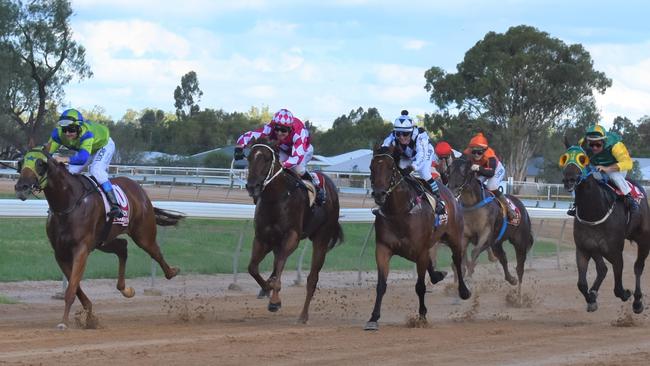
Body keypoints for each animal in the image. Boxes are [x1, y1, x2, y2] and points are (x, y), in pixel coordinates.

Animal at [13, 149, 181, 328]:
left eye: (40, 164)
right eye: (21, 162)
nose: (21, 187)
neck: (68, 203)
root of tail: (139, 189)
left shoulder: (81, 249)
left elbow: (71, 288)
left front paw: (64, 322)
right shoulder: (60, 252)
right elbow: (75, 285)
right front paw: (89, 315)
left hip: (143, 233)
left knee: (155, 251)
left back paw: (172, 271)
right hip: (103, 241)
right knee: (122, 247)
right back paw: (126, 289)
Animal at [244, 137, 344, 324]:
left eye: (266, 159)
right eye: (249, 158)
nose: (252, 186)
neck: (276, 199)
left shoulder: (292, 236)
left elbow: (279, 267)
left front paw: (275, 301)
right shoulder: (262, 238)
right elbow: (253, 268)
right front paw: (267, 288)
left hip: (322, 237)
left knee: (312, 278)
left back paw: (303, 316)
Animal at [364, 144, 470, 330]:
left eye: (391, 168)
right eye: (371, 167)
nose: (379, 194)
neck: (399, 212)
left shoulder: (420, 251)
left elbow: (420, 286)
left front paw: (421, 317)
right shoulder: (383, 249)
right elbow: (381, 285)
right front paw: (373, 318)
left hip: (455, 237)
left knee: (457, 261)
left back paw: (463, 291)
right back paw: (437, 276)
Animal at [446, 156, 532, 294]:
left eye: (465, 172)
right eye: (449, 170)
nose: (451, 190)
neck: (472, 205)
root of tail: (521, 206)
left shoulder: (486, 235)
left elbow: (474, 252)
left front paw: (469, 277)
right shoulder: (465, 236)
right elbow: (460, 256)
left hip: (520, 242)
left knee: (520, 267)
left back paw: (519, 294)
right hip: (497, 243)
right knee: (503, 258)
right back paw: (511, 279)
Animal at [560, 144, 644, 314]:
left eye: (582, 159)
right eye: (564, 157)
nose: (569, 179)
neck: (594, 211)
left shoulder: (616, 252)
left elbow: (618, 288)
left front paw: (627, 294)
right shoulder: (584, 248)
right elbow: (582, 283)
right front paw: (591, 298)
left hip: (644, 238)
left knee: (638, 267)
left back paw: (638, 301)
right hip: (596, 248)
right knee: (602, 268)